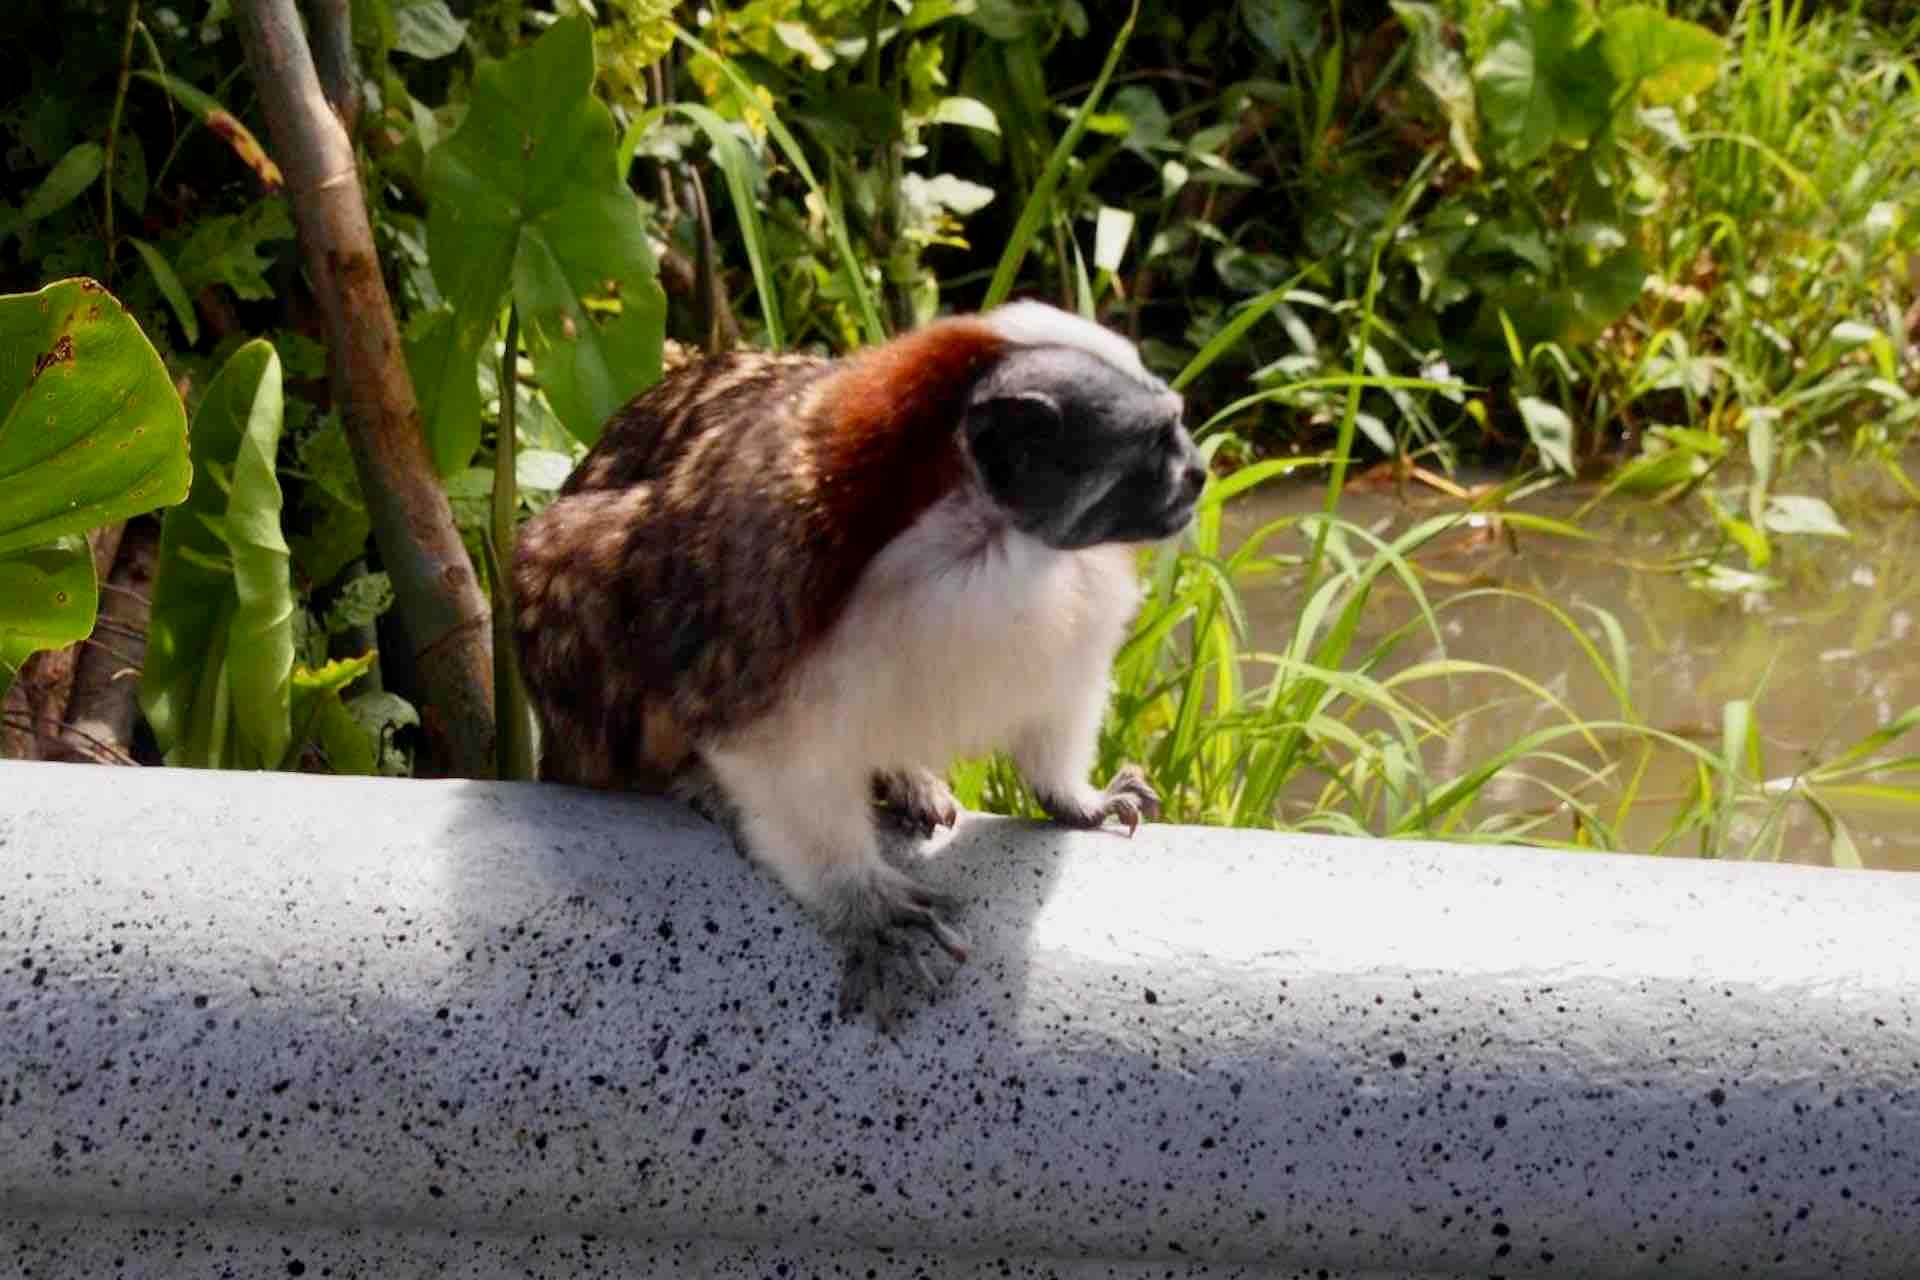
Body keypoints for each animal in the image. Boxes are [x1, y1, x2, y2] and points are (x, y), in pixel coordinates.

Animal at [512, 301, 1206, 1021]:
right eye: (1159, 443)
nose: (1200, 474)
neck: (982, 539)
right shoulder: (771, 583)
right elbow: (768, 759)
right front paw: (862, 901)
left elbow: (1058, 702)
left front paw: (1075, 798)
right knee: (576, 550)